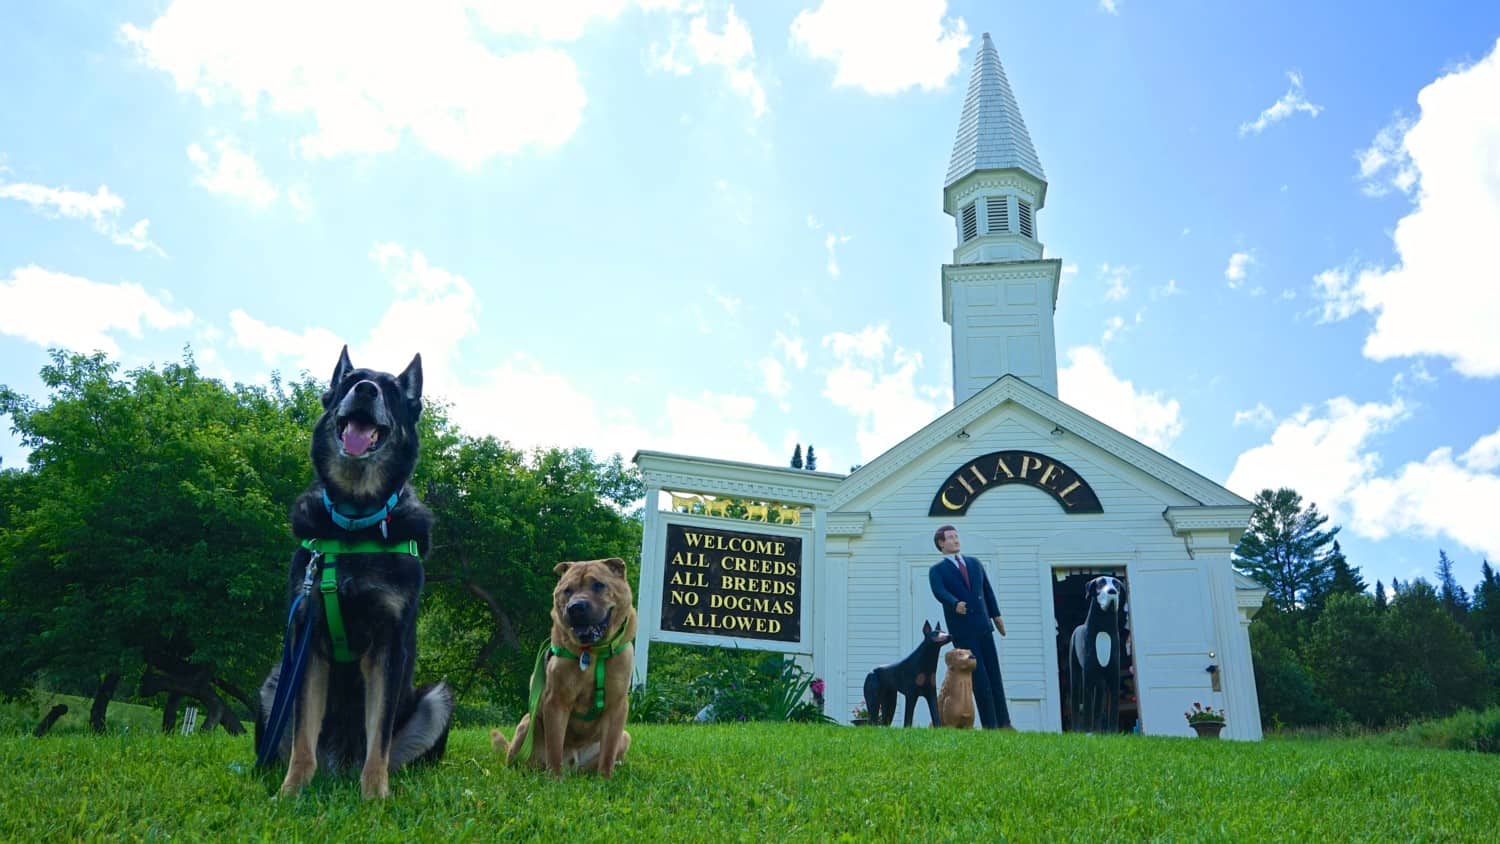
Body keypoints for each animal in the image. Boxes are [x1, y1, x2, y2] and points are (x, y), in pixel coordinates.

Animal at [256, 347, 450, 797]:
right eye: (351, 380)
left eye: (392, 390)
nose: (365, 390)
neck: (355, 520)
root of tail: (338, 764)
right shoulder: (307, 642)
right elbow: (303, 737)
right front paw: (291, 791)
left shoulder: (388, 645)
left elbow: (378, 738)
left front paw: (375, 795)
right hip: (274, 685)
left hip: (436, 701)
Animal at [492, 560, 633, 779]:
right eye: (567, 590)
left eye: (598, 585)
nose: (576, 607)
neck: (592, 653)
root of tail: (573, 765)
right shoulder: (556, 700)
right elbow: (554, 746)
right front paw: (555, 778)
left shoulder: (616, 704)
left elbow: (608, 750)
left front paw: (605, 779)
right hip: (527, 725)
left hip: (625, 737)